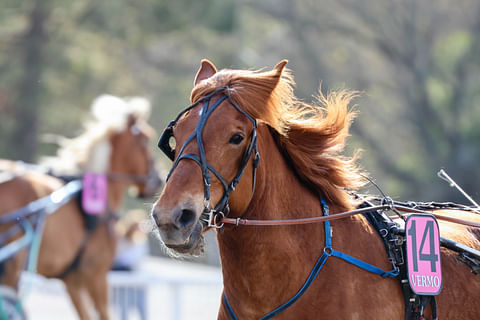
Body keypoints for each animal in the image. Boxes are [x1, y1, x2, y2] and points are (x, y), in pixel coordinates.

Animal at [0, 95, 163, 320]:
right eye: (146, 139)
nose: (158, 178)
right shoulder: (95, 274)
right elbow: (103, 314)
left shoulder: (72, 280)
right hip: (14, 264)